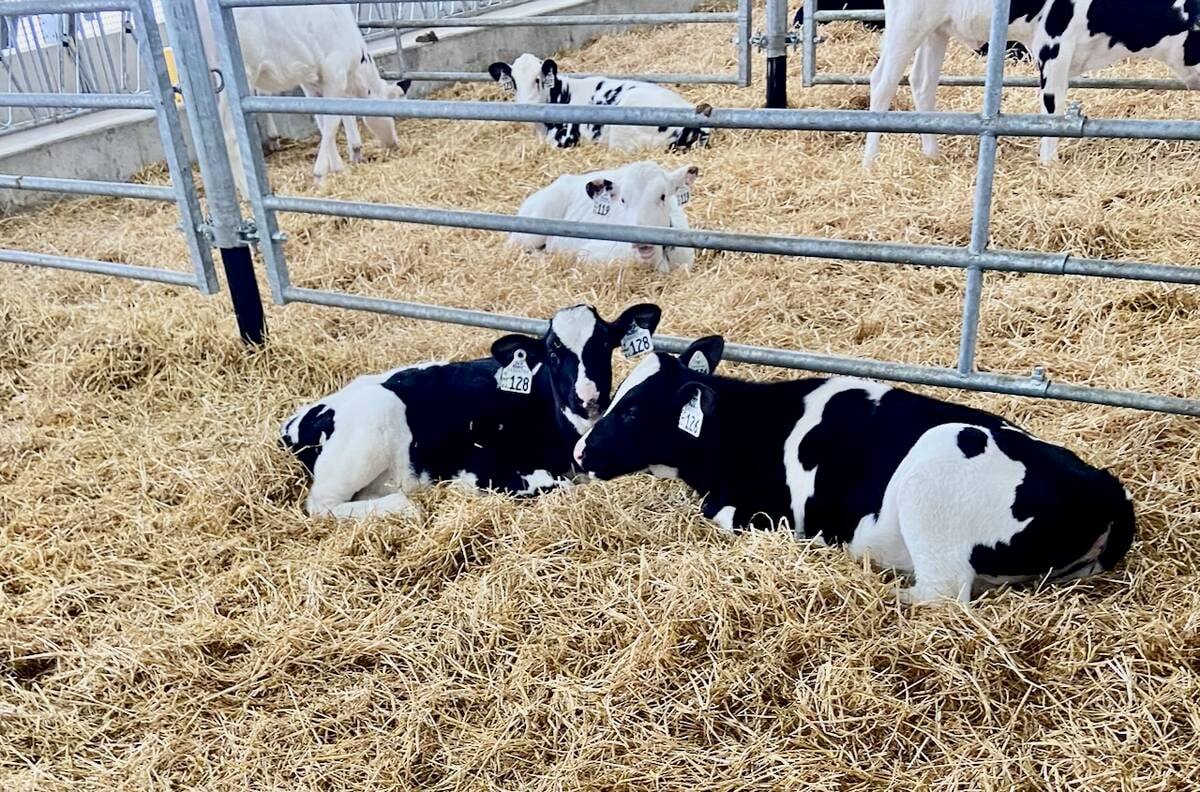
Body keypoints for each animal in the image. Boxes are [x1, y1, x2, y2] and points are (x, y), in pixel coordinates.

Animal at [193, 1, 410, 194]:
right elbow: (332, 123)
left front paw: (337, 167)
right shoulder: (334, 74)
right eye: (392, 114)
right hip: (242, 71)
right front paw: (321, 175)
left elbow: (322, 121)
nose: (394, 143)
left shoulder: (312, 84)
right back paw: (247, 191)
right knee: (229, 133)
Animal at [280, 303, 662, 519]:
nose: (588, 397)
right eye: (554, 352)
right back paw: (405, 508)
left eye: (604, 344)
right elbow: (557, 486)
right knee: (321, 505)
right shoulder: (485, 469)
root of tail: (295, 421)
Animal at [572, 337, 1136, 606]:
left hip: (936, 471)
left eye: (632, 411)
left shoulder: (769, 512)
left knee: (942, 593)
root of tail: (1103, 485)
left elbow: (719, 514)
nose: (578, 453)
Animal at [864, 0, 1200, 167]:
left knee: (923, 81)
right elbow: (1053, 110)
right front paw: (1050, 166)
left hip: (937, 27)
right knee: (883, 81)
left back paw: (932, 156)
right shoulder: (1053, 43)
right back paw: (870, 163)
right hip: (908, 20)